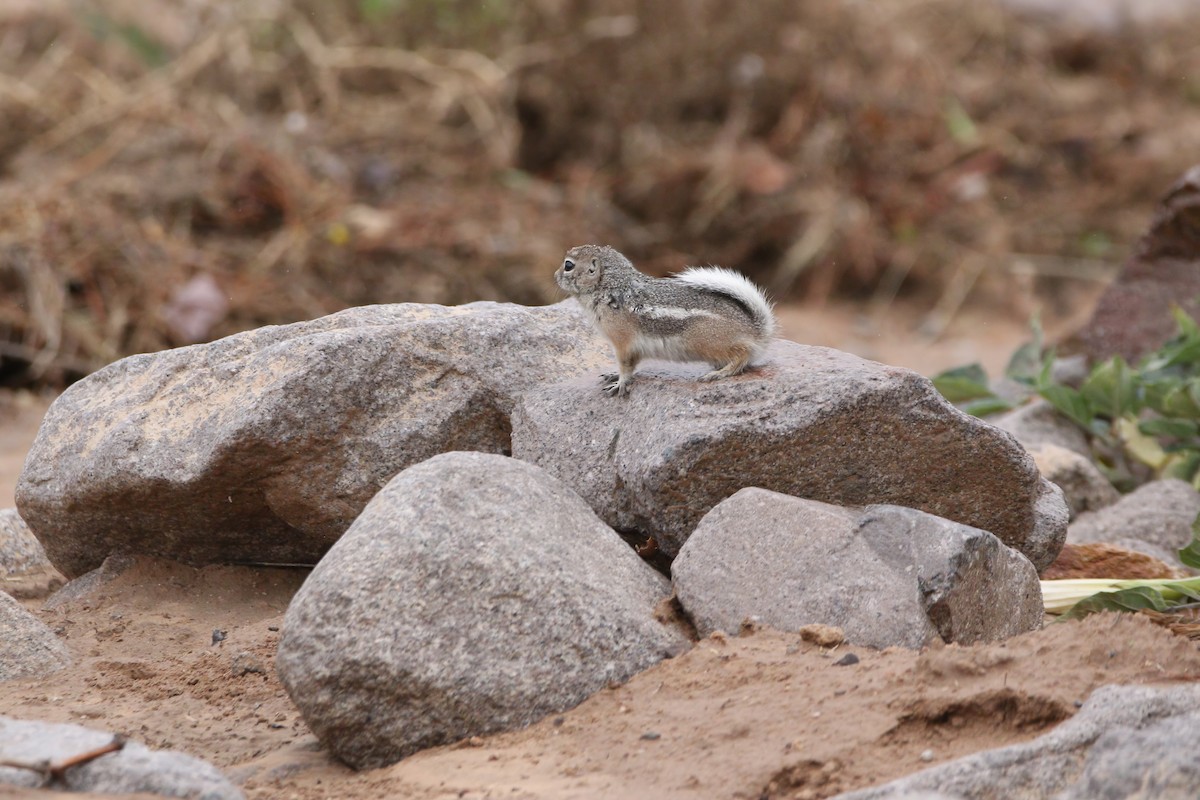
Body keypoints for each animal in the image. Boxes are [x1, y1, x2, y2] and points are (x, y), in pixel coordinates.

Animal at [555, 244, 777, 396]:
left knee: (743, 354)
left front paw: (620, 383)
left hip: (704, 342)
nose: (555, 275)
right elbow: (632, 365)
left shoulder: (623, 342)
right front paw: (613, 375)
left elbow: (625, 366)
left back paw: (719, 373)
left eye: (568, 265)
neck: (610, 289)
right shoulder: (634, 347)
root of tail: (757, 329)